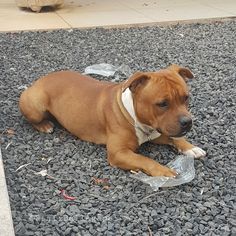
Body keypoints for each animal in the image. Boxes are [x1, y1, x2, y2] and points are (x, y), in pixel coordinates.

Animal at [19, 65, 206, 177]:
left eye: (186, 98)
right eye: (162, 104)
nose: (187, 121)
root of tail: (39, 80)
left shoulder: (158, 131)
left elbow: (175, 138)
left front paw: (190, 148)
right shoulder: (118, 153)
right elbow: (144, 159)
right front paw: (163, 171)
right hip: (35, 104)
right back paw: (44, 125)